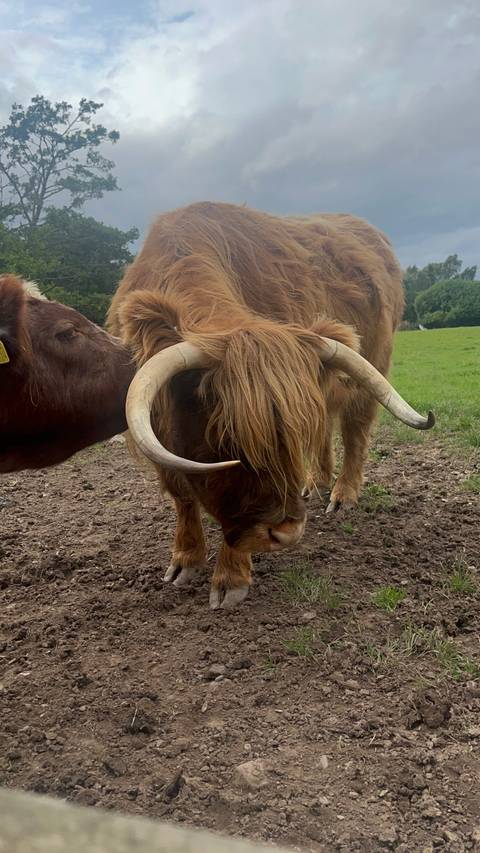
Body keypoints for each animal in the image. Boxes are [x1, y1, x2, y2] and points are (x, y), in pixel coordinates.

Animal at [107, 201, 434, 609]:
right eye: (227, 440)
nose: (289, 532)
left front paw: (230, 579)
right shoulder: (158, 428)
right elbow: (182, 494)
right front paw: (185, 560)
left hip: (371, 368)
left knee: (355, 430)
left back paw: (342, 496)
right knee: (326, 426)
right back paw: (316, 483)